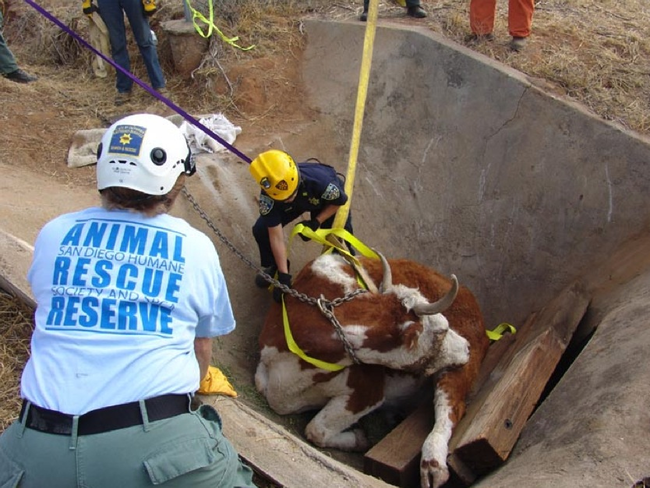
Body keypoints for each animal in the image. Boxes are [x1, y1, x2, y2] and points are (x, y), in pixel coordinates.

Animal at [254, 254, 486, 486]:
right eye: (441, 330)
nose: (465, 347)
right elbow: (263, 387)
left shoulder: (367, 393)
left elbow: (316, 430)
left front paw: (358, 438)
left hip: (458, 370)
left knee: (451, 408)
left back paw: (433, 464)